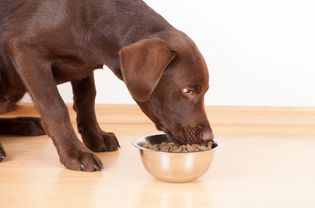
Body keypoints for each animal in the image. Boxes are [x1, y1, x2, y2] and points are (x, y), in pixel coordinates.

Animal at [0, 0, 214, 171]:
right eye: (188, 91)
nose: (209, 138)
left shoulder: (83, 66)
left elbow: (87, 98)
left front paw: (95, 137)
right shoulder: (25, 48)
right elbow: (55, 107)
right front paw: (75, 153)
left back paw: (28, 124)